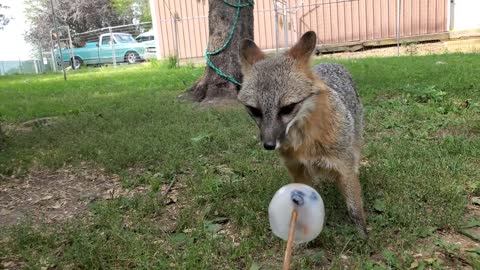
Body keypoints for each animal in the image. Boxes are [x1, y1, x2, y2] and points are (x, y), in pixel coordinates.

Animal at [237, 31, 368, 236]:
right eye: (254, 110)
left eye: (288, 108)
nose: (269, 145)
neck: (304, 143)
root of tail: (333, 63)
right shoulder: (298, 171)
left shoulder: (344, 167)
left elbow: (354, 208)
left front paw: (363, 235)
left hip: (354, 146)